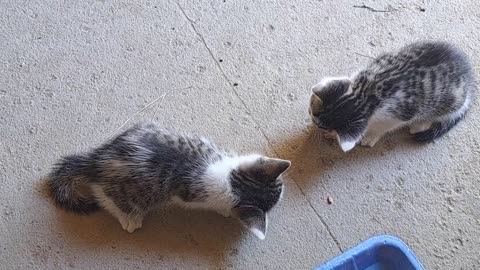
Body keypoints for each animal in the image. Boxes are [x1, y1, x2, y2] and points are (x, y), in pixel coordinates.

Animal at [48, 123, 290, 239]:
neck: (232, 179)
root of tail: (98, 159)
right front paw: (225, 212)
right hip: (127, 191)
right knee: (105, 195)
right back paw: (129, 218)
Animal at [310, 41, 474, 152]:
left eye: (321, 126)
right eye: (312, 112)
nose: (315, 125)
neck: (366, 93)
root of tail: (470, 82)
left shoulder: (400, 115)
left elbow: (383, 126)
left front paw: (370, 135)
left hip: (449, 101)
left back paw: (420, 124)